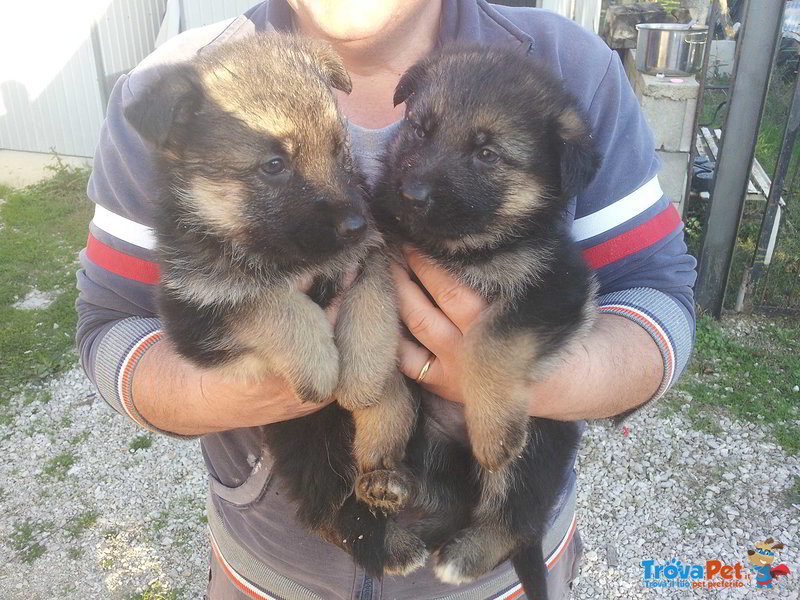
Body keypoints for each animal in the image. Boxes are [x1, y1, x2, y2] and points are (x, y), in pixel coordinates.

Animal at [123, 34, 424, 576]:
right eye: (274, 165)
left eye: (340, 150)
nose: (356, 223)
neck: (279, 256)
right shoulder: (199, 315)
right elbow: (271, 304)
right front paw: (320, 363)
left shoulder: (372, 255)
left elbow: (372, 295)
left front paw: (361, 371)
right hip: (309, 455)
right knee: (327, 515)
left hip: (393, 409)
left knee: (376, 448)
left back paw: (388, 486)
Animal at [376, 47, 600, 600]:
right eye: (420, 129)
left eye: (488, 154)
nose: (411, 193)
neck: (463, 247)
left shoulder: (556, 288)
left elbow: (491, 338)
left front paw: (494, 424)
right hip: (426, 440)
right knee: (445, 501)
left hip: (539, 441)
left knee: (514, 518)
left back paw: (466, 553)